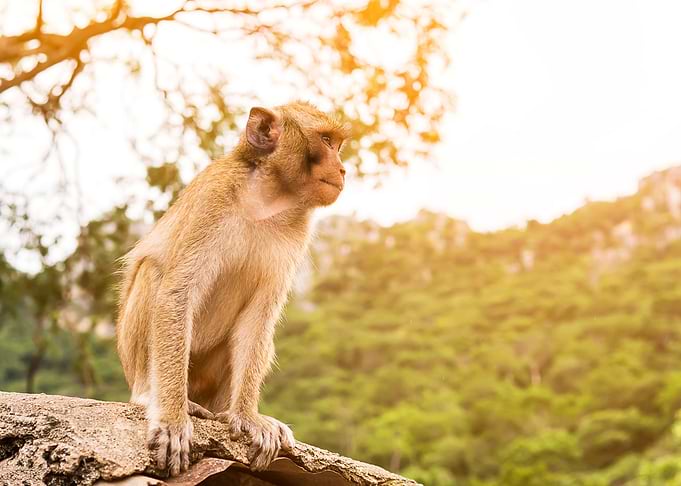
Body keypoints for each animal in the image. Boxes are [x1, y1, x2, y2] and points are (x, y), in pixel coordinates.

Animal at [115, 101, 349, 476]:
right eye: (326, 141)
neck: (266, 199)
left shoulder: (298, 229)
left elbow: (259, 318)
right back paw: (152, 395)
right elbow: (177, 293)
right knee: (153, 273)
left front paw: (247, 417)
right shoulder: (213, 198)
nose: (342, 169)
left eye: (337, 144)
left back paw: (227, 411)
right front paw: (172, 420)